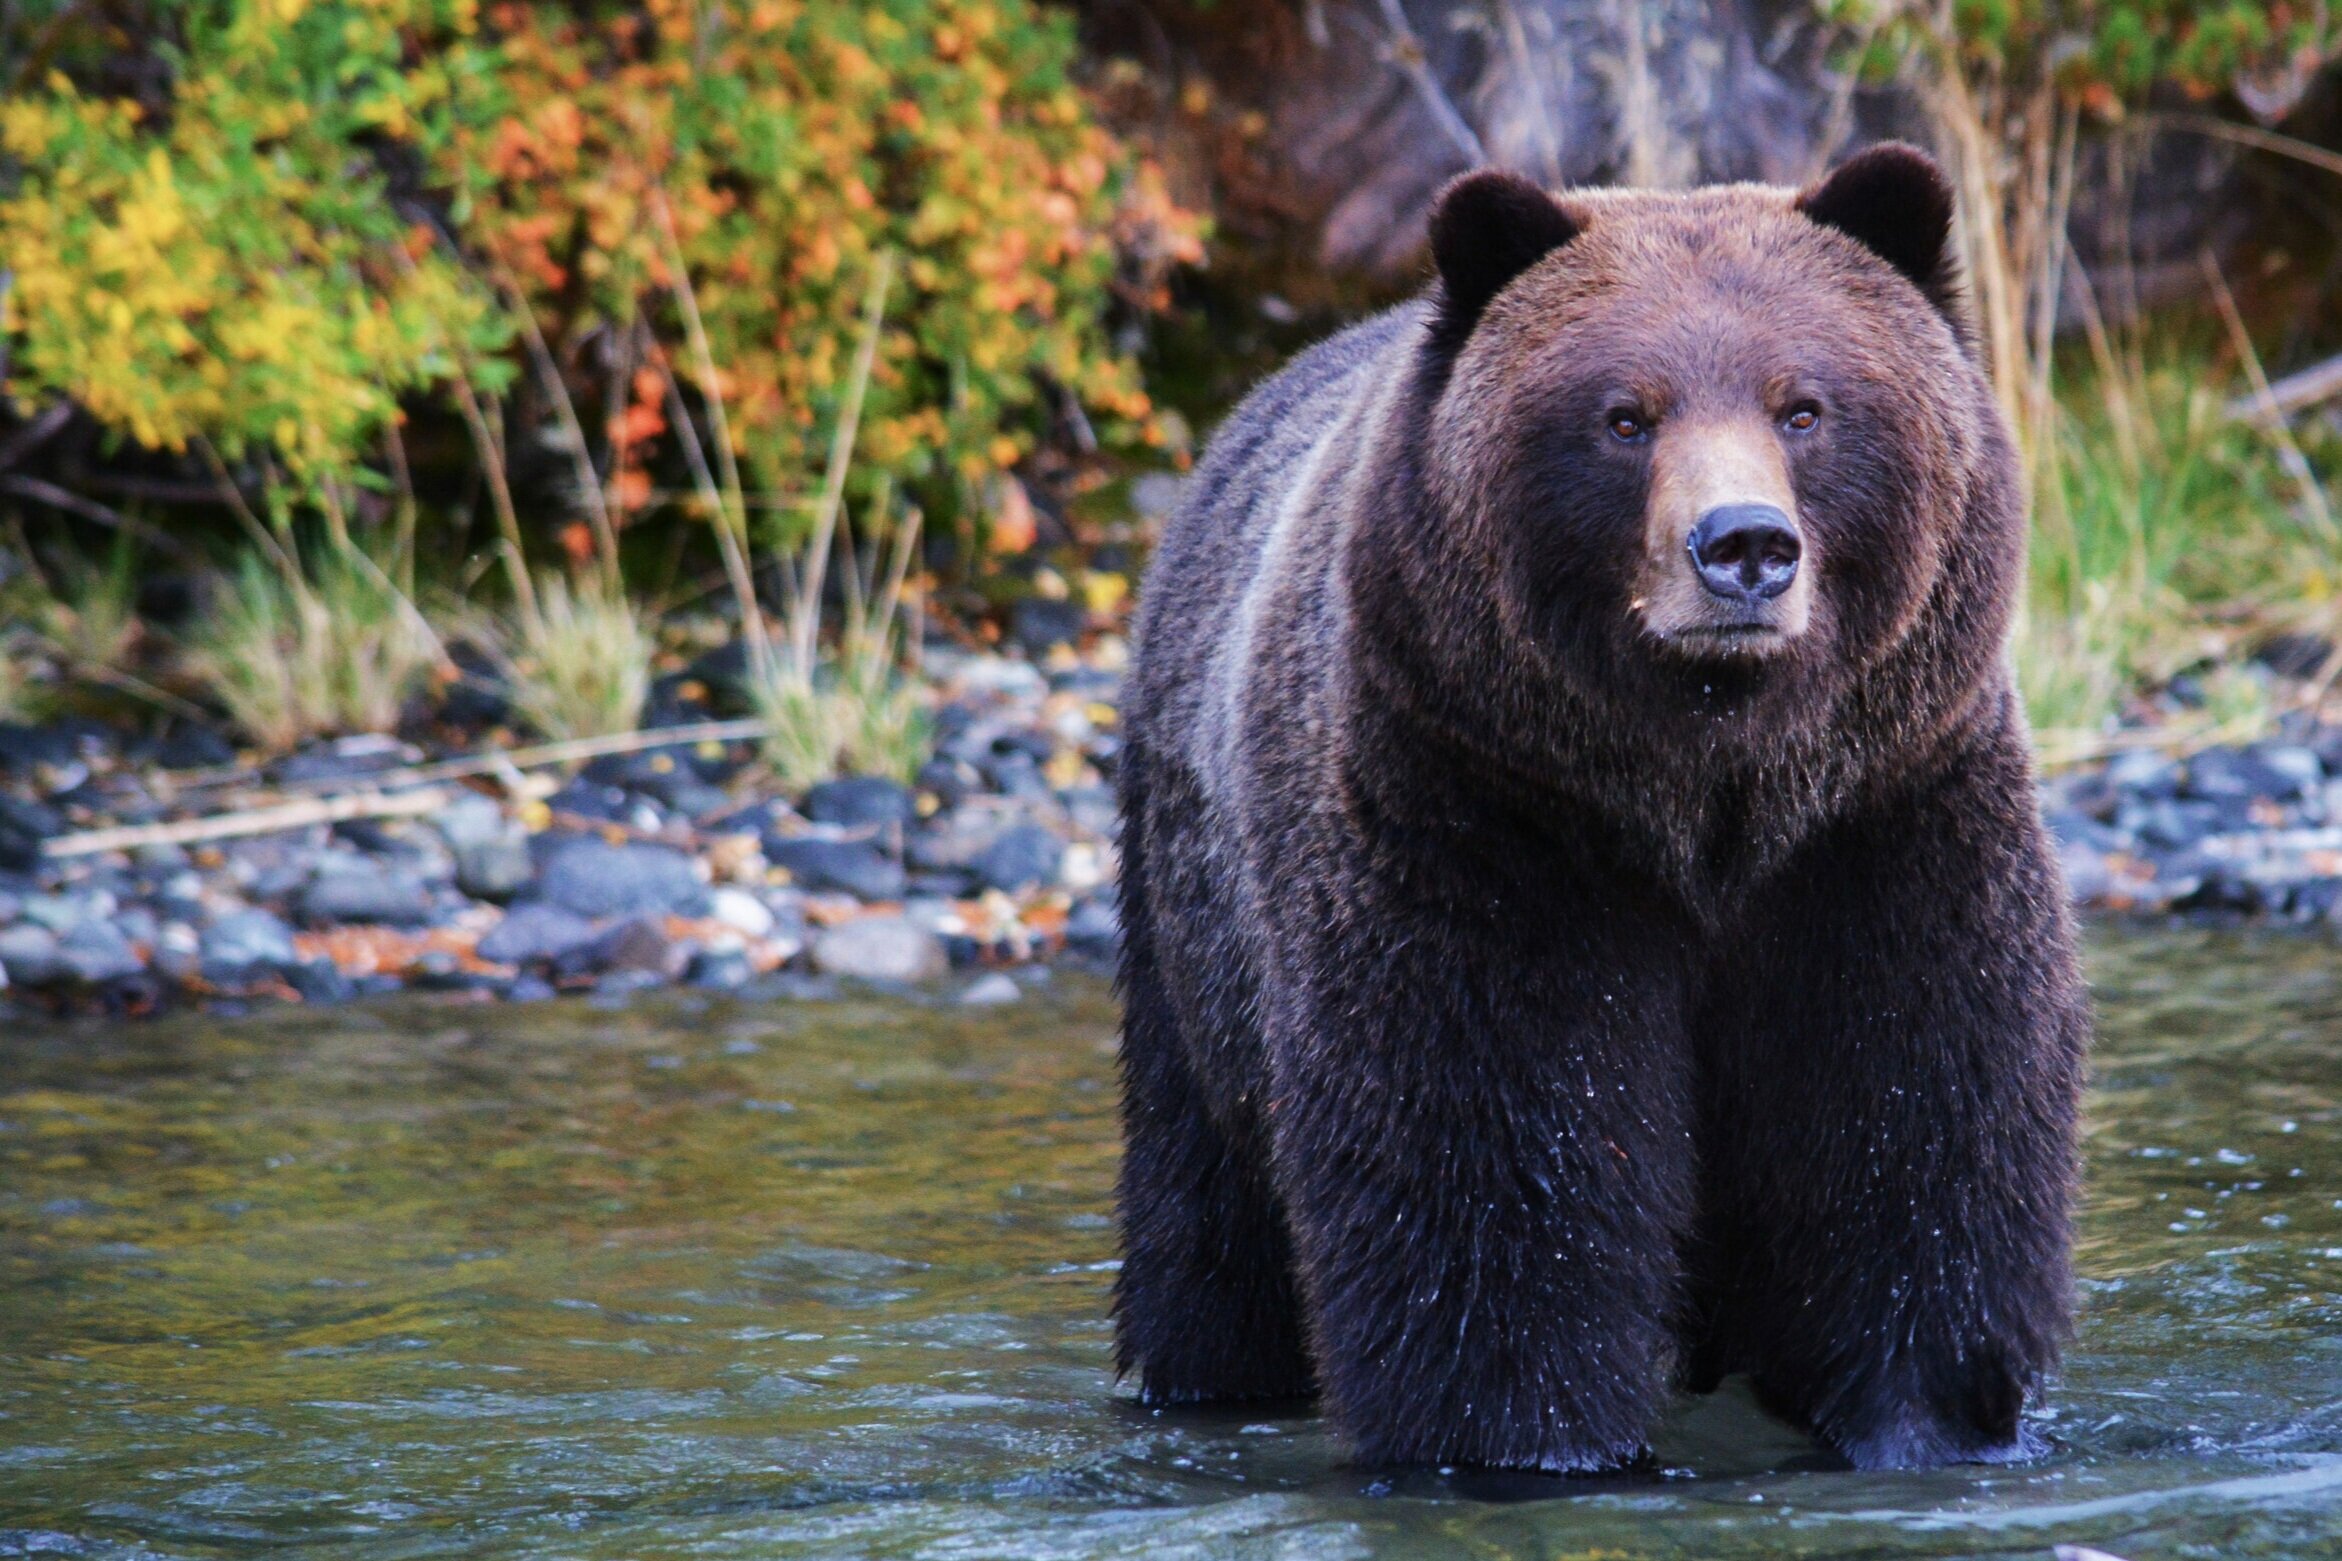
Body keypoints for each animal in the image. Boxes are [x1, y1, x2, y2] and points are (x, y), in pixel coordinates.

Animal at [1111, 142, 2090, 1474]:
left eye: (1803, 406)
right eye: (1625, 414)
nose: (1742, 547)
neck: (1705, 795)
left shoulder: (1883, 823)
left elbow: (1912, 1127)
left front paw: (1920, 1416)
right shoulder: (1479, 818)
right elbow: (1494, 1164)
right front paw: (1516, 1441)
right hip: (1191, 919)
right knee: (1201, 1213)